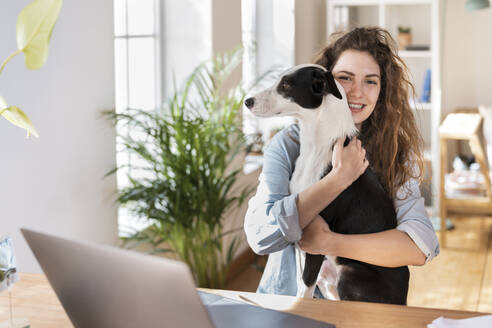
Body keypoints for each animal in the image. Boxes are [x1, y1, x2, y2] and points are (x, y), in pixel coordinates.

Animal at [244, 64, 410, 304]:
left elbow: (305, 287)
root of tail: (402, 300)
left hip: (348, 274)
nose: (247, 101)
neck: (316, 147)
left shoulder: (315, 244)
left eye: (287, 84)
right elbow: (300, 281)